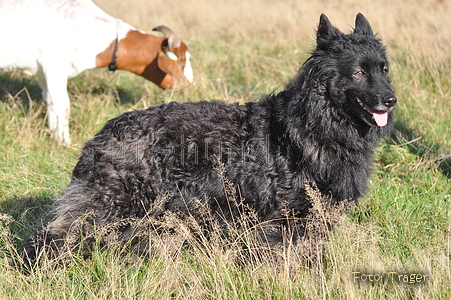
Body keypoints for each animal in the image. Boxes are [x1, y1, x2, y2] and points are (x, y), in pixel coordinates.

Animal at [0, 0, 192, 144]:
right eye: (181, 60)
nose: (188, 84)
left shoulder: (43, 71)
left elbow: (51, 103)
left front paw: (54, 133)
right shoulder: (55, 65)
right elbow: (63, 106)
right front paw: (64, 141)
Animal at [20, 12, 396, 264]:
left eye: (384, 70)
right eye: (358, 73)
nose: (391, 100)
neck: (312, 122)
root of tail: (102, 133)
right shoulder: (280, 218)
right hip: (111, 204)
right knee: (53, 234)